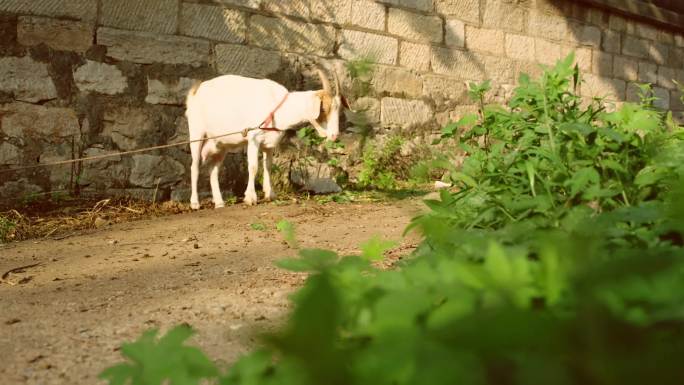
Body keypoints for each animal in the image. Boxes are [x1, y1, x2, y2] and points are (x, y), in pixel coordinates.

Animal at [184, 68, 344, 207]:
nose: (335, 135)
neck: (278, 107)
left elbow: (267, 166)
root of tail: (194, 94)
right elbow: (254, 166)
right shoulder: (253, 137)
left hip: (220, 144)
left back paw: (219, 202)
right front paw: (250, 197)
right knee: (194, 167)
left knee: (213, 170)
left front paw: (270, 194)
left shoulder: (269, 143)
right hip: (197, 133)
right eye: (324, 109)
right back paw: (195, 203)